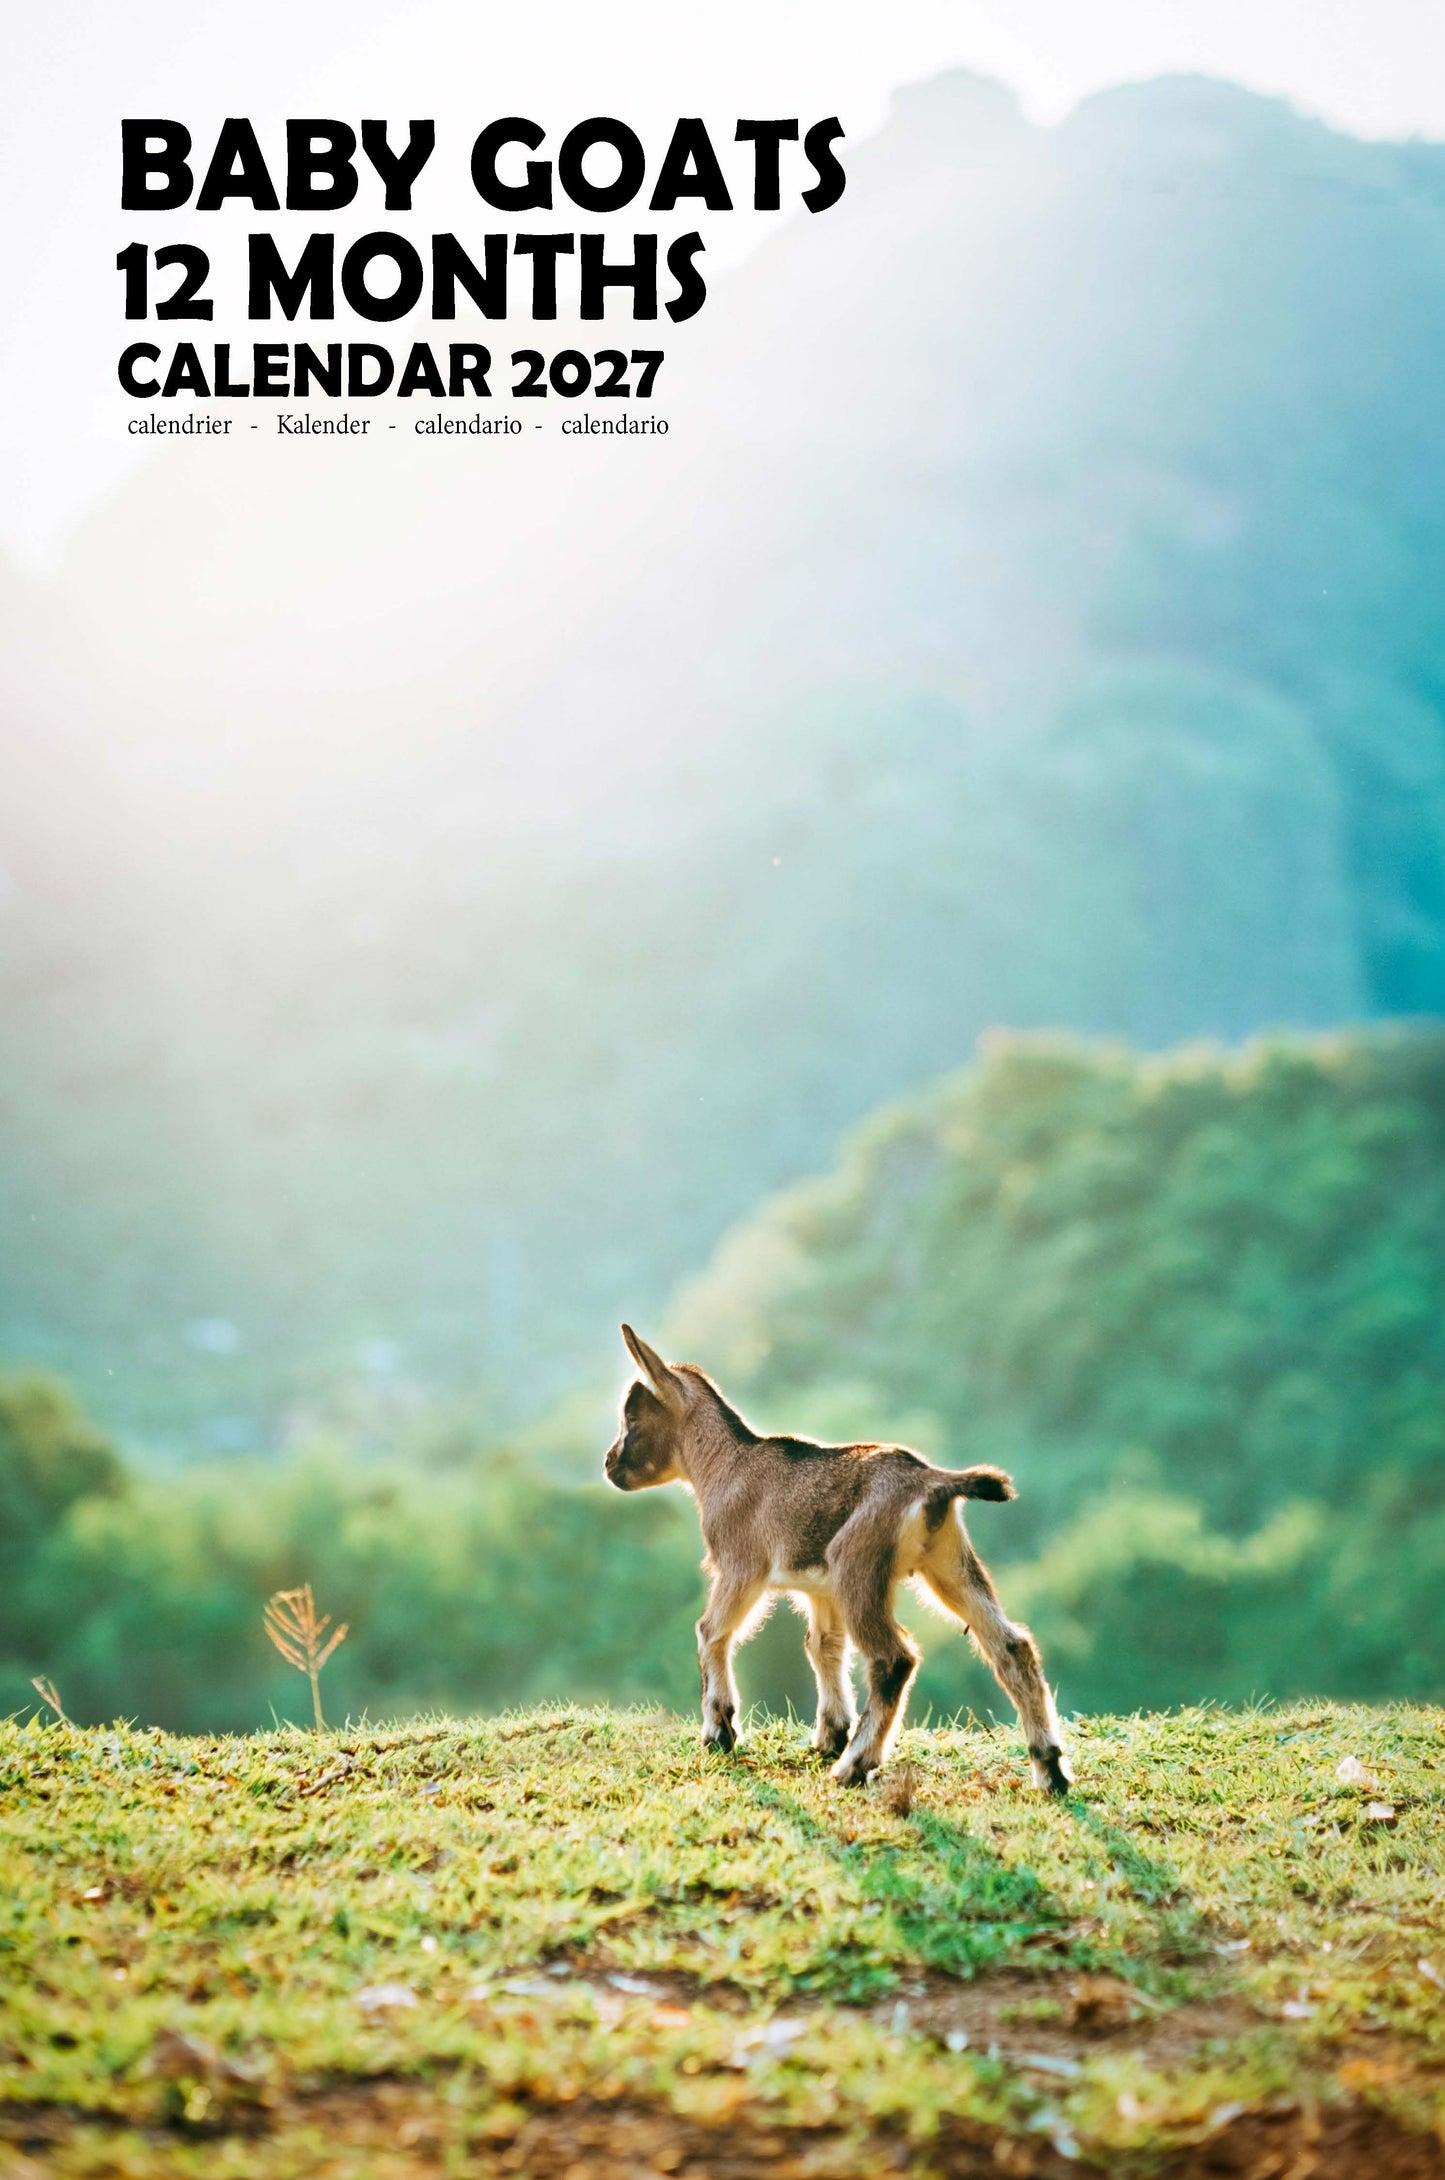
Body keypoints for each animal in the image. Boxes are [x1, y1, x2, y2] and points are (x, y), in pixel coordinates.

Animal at [604, 1326, 1071, 1794]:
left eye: (632, 1419)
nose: (610, 1465)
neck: (725, 1466)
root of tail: (932, 1482)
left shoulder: (741, 1567)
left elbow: (711, 1631)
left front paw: (719, 1732)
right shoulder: (819, 1589)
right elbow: (822, 1646)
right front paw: (830, 1735)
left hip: (858, 1565)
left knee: (894, 1659)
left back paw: (855, 1766)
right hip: (948, 1561)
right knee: (1011, 1646)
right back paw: (1050, 1770)